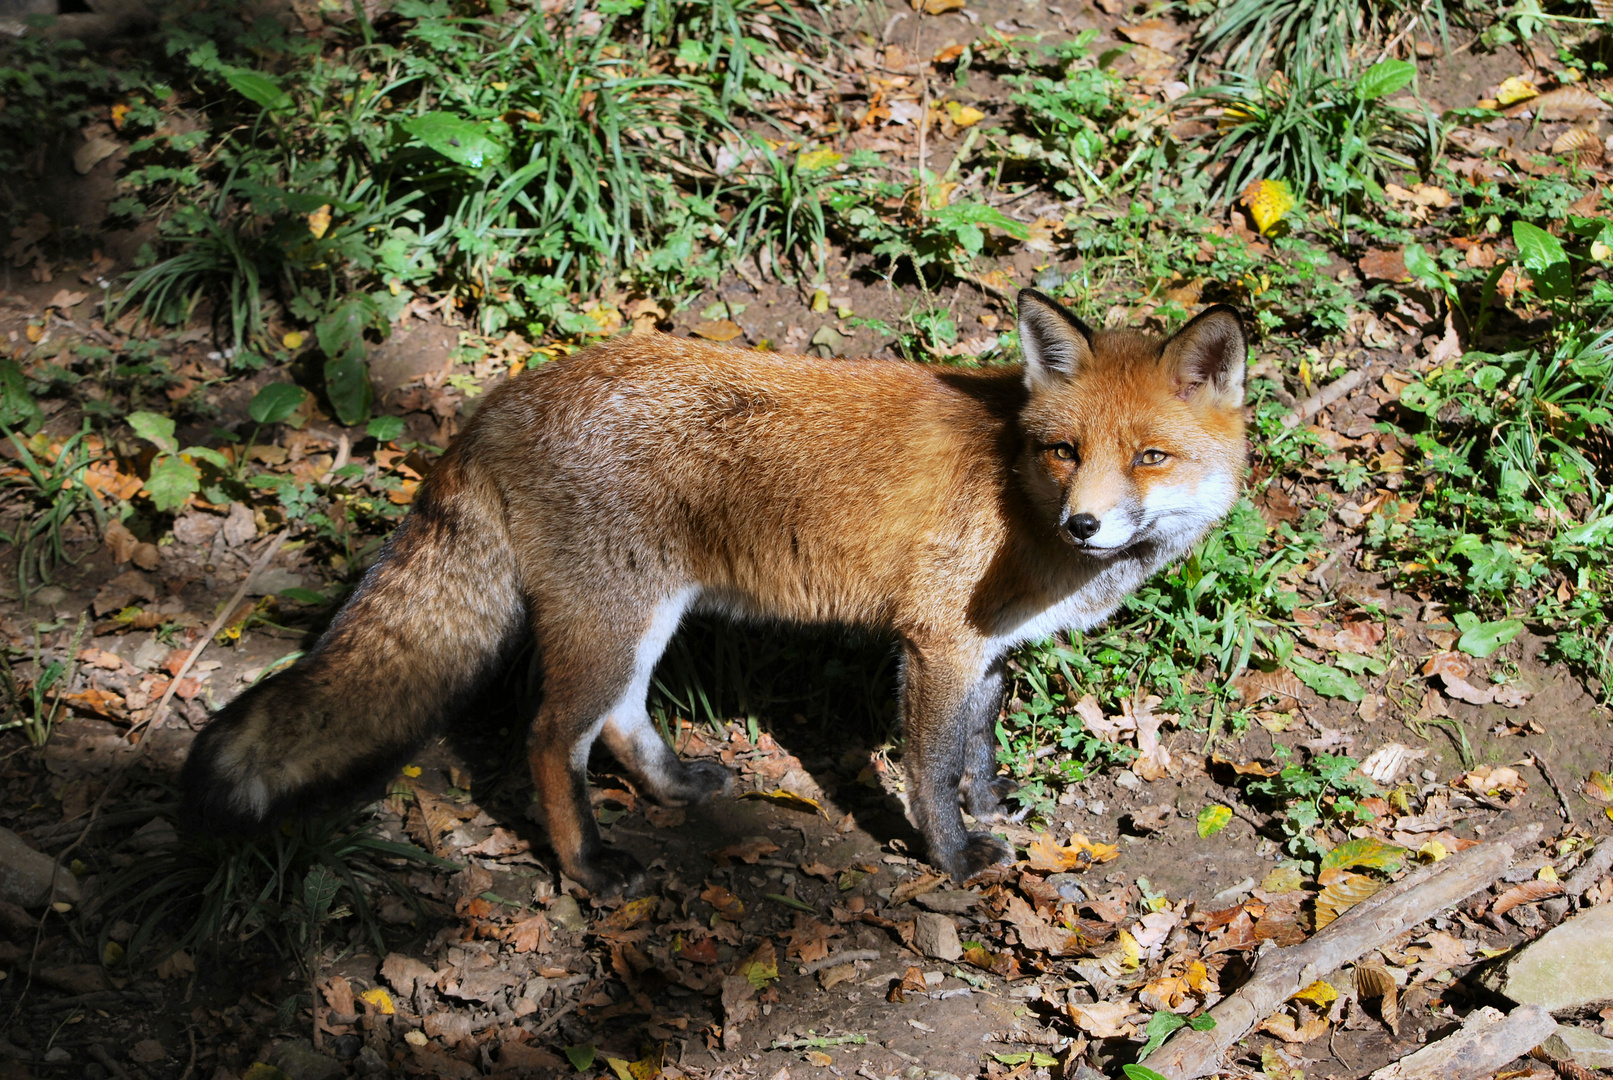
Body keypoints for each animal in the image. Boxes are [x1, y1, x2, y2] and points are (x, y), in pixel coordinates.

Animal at [183, 290, 1251, 896]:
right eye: (1064, 451)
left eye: (1148, 458)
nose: (1084, 525)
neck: (1016, 495)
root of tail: (498, 402)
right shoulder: (935, 640)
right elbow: (930, 769)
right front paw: (951, 860)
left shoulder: (981, 649)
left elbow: (976, 750)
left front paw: (992, 808)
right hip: (611, 620)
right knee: (549, 738)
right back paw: (587, 868)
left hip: (641, 616)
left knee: (616, 722)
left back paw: (671, 788)